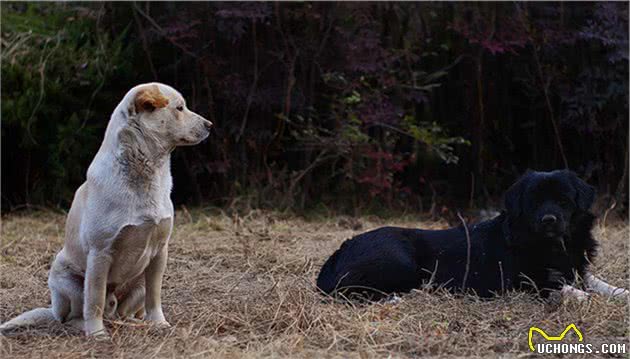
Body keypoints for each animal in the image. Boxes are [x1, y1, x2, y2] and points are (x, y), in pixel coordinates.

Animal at [0, 83, 214, 338]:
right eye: (180, 108)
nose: (210, 125)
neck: (145, 174)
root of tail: (52, 310)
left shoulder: (160, 252)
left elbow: (154, 298)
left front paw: (160, 324)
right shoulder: (100, 254)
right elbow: (94, 300)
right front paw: (97, 334)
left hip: (139, 282)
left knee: (123, 312)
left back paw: (132, 323)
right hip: (63, 276)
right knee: (74, 315)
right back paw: (87, 326)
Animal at [318, 170, 600, 300]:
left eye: (563, 200)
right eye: (534, 202)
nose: (548, 220)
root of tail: (339, 251)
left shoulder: (578, 269)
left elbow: (596, 282)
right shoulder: (523, 281)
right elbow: (560, 286)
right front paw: (582, 297)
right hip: (400, 263)